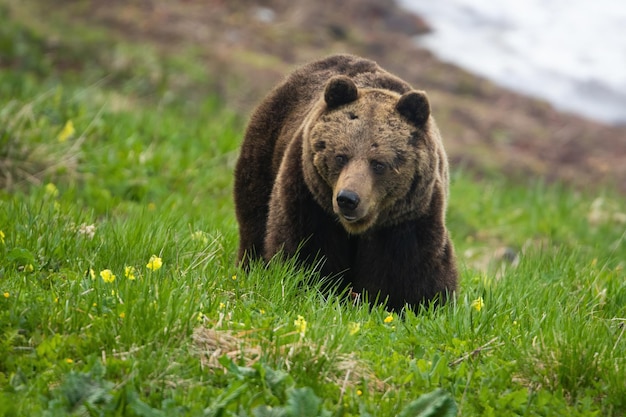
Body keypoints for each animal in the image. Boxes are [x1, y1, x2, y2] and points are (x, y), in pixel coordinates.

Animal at [232, 54, 456, 308]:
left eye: (379, 163)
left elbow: (412, 272)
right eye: (341, 156)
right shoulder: (310, 197)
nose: (348, 199)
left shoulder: (409, 217)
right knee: (254, 217)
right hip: (266, 151)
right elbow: (304, 250)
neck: (361, 227)